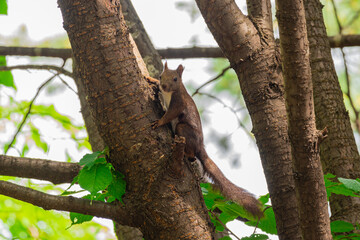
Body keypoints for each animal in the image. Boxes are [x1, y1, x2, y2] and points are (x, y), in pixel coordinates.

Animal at [148, 62, 262, 219]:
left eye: (176, 78)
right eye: (160, 76)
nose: (164, 86)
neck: (169, 93)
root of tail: (200, 146)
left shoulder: (178, 102)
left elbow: (170, 115)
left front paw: (159, 122)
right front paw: (150, 78)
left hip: (183, 129)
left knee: (191, 152)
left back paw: (186, 153)